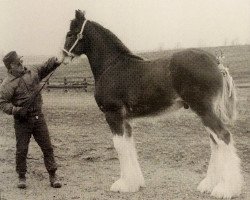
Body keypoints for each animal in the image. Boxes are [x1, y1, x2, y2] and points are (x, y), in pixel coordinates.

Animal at [62, 10, 242, 198]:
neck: (112, 66)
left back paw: (225, 189)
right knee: (215, 141)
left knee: (223, 137)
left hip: (204, 111)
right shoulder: (125, 120)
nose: (63, 56)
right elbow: (129, 145)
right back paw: (209, 184)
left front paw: (123, 184)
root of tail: (216, 62)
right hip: (207, 112)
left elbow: (119, 146)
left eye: (70, 34)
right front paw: (134, 183)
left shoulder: (113, 115)